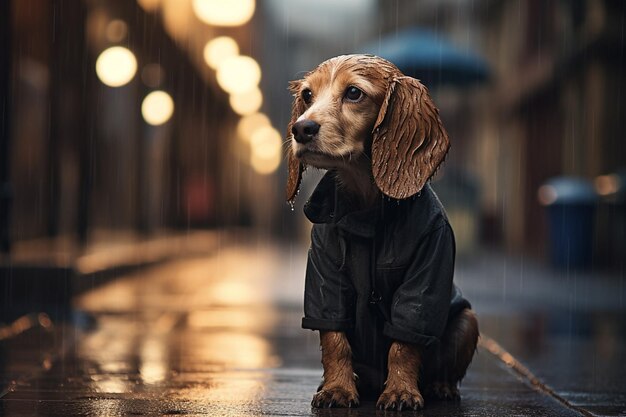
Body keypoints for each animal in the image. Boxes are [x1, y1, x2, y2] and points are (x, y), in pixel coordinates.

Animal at [286, 55, 478, 410]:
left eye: (354, 93)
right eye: (307, 95)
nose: (301, 128)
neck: (367, 208)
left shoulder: (425, 277)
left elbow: (404, 343)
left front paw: (401, 391)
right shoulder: (325, 277)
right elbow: (334, 339)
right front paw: (337, 389)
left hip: (468, 320)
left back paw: (440, 387)